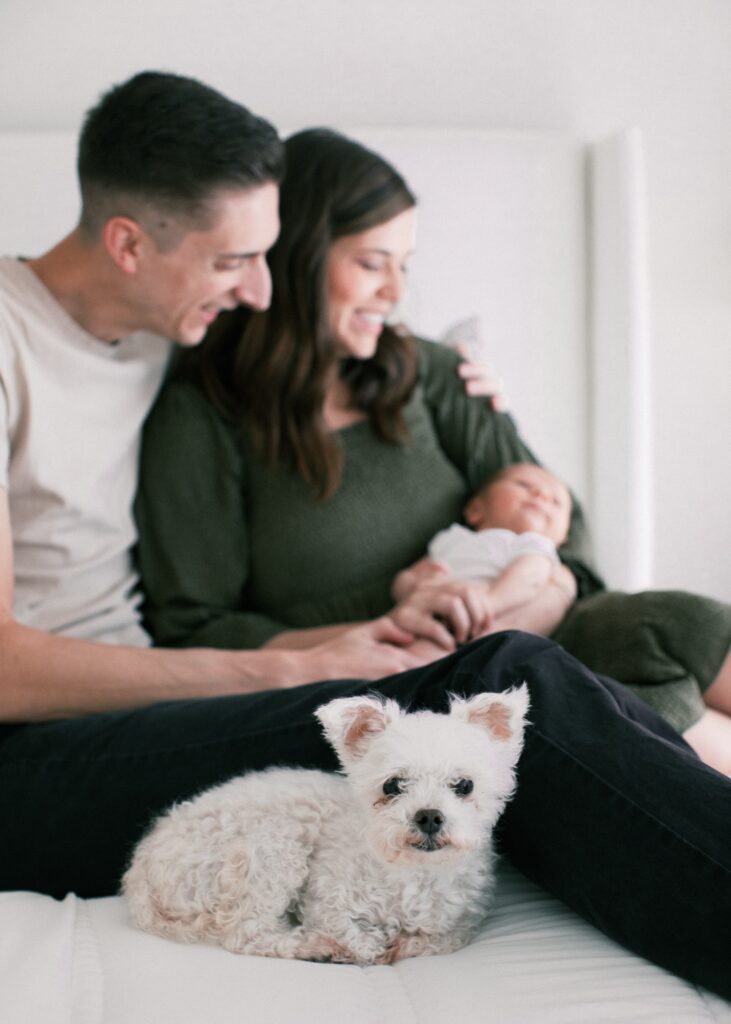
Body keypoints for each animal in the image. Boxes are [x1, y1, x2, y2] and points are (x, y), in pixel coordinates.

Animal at [122, 686, 529, 965]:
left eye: (464, 786)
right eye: (392, 786)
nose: (428, 815)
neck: (415, 874)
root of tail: (140, 870)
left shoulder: (462, 923)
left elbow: (440, 939)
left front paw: (403, 943)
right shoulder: (325, 900)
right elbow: (353, 935)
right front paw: (364, 946)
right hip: (274, 847)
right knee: (247, 933)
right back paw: (314, 947)